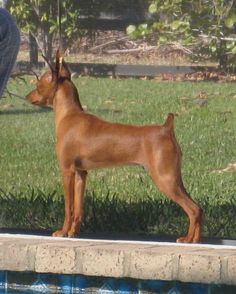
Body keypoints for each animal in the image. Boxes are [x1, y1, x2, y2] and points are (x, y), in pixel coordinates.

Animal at [26, 51, 203, 242]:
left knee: (193, 209)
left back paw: (188, 239)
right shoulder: (81, 174)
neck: (69, 115)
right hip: (174, 177)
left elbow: (69, 208)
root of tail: (166, 128)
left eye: (38, 85)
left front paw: (63, 231)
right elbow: (78, 209)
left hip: (165, 178)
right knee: (198, 208)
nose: (27, 96)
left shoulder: (67, 172)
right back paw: (196, 239)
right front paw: (74, 232)